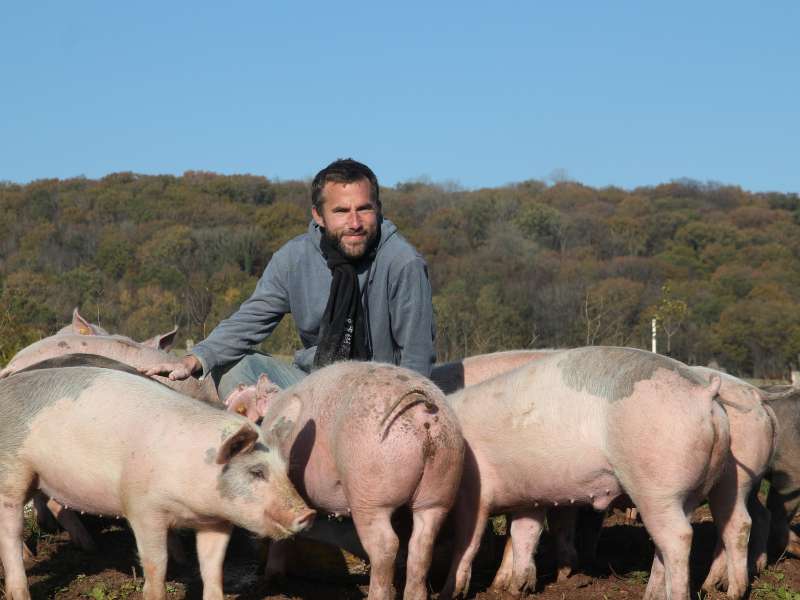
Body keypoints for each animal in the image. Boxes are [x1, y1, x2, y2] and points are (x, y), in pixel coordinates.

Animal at [0, 366, 314, 600]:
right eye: (256, 471)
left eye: (286, 472)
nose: (308, 514)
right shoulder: (142, 509)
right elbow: (156, 564)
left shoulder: (217, 522)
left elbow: (213, 569)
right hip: (12, 472)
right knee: (10, 531)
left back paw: (89, 548)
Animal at [250, 360, 462, 600]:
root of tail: (422, 412)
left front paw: (271, 579)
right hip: (441, 485)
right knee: (422, 545)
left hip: (370, 489)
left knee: (386, 545)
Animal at [440, 346, 728, 600]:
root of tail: (703, 394)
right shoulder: (530, 495)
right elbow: (524, 534)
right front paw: (516, 589)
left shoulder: (474, 492)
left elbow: (468, 541)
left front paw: (448, 593)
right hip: (694, 489)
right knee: (666, 541)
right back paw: (650, 595)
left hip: (656, 486)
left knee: (679, 537)